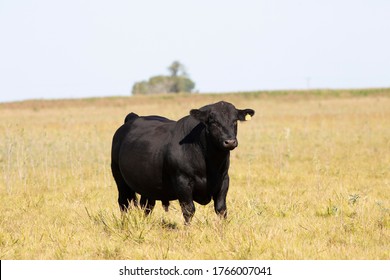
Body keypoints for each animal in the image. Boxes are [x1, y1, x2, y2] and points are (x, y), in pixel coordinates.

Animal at [110, 101, 256, 224]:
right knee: (123, 203)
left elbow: (221, 209)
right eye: (213, 121)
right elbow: (188, 210)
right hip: (119, 178)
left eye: (235, 121)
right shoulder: (182, 181)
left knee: (147, 205)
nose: (230, 141)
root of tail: (134, 118)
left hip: (147, 183)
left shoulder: (224, 179)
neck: (209, 165)